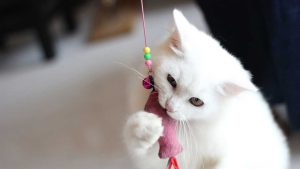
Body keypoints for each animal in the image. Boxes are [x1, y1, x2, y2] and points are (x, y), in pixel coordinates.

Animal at [123, 9, 290, 169]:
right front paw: (147, 127)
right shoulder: (148, 160)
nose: (169, 106)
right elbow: (133, 137)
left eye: (196, 101)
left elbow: (226, 163)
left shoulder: (234, 153)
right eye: (171, 80)